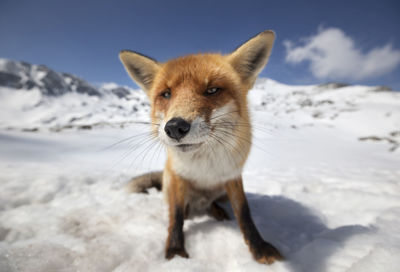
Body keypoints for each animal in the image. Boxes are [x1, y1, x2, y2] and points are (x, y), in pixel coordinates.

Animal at [119, 30, 284, 266]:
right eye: (166, 94)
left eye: (212, 90)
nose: (175, 127)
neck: (205, 166)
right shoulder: (177, 177)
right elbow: (176, 217)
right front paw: (175, 253)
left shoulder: (232, 176)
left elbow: (245, 213)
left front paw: (259, 248)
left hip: (220, 192)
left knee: (211, 203)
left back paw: (217, 211)